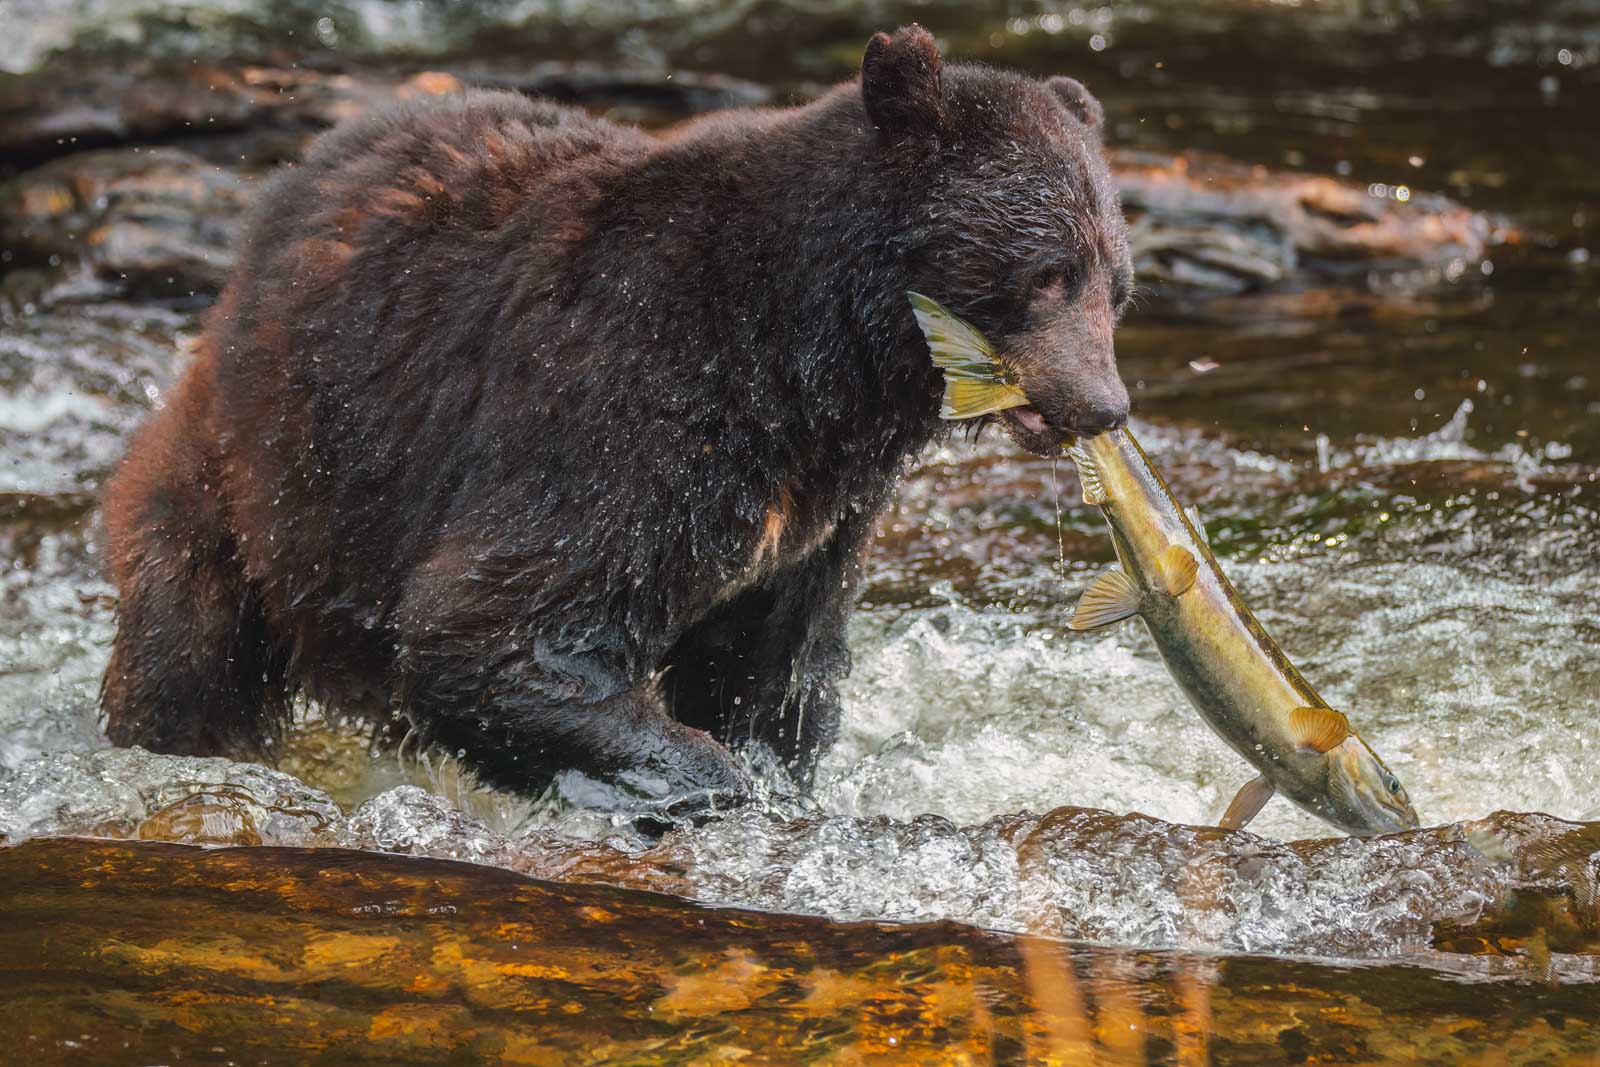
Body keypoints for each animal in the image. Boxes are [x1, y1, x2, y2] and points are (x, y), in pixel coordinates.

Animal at [100, 27, 1132, 809]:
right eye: (1048, 271)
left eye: (1115, 284)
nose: (1103, 404)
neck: (822, 360)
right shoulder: (634, 393)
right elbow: (496, 625)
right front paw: (691, 776)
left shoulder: (819, 510)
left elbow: (775, 669)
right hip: (269, 470)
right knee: (189, 647)